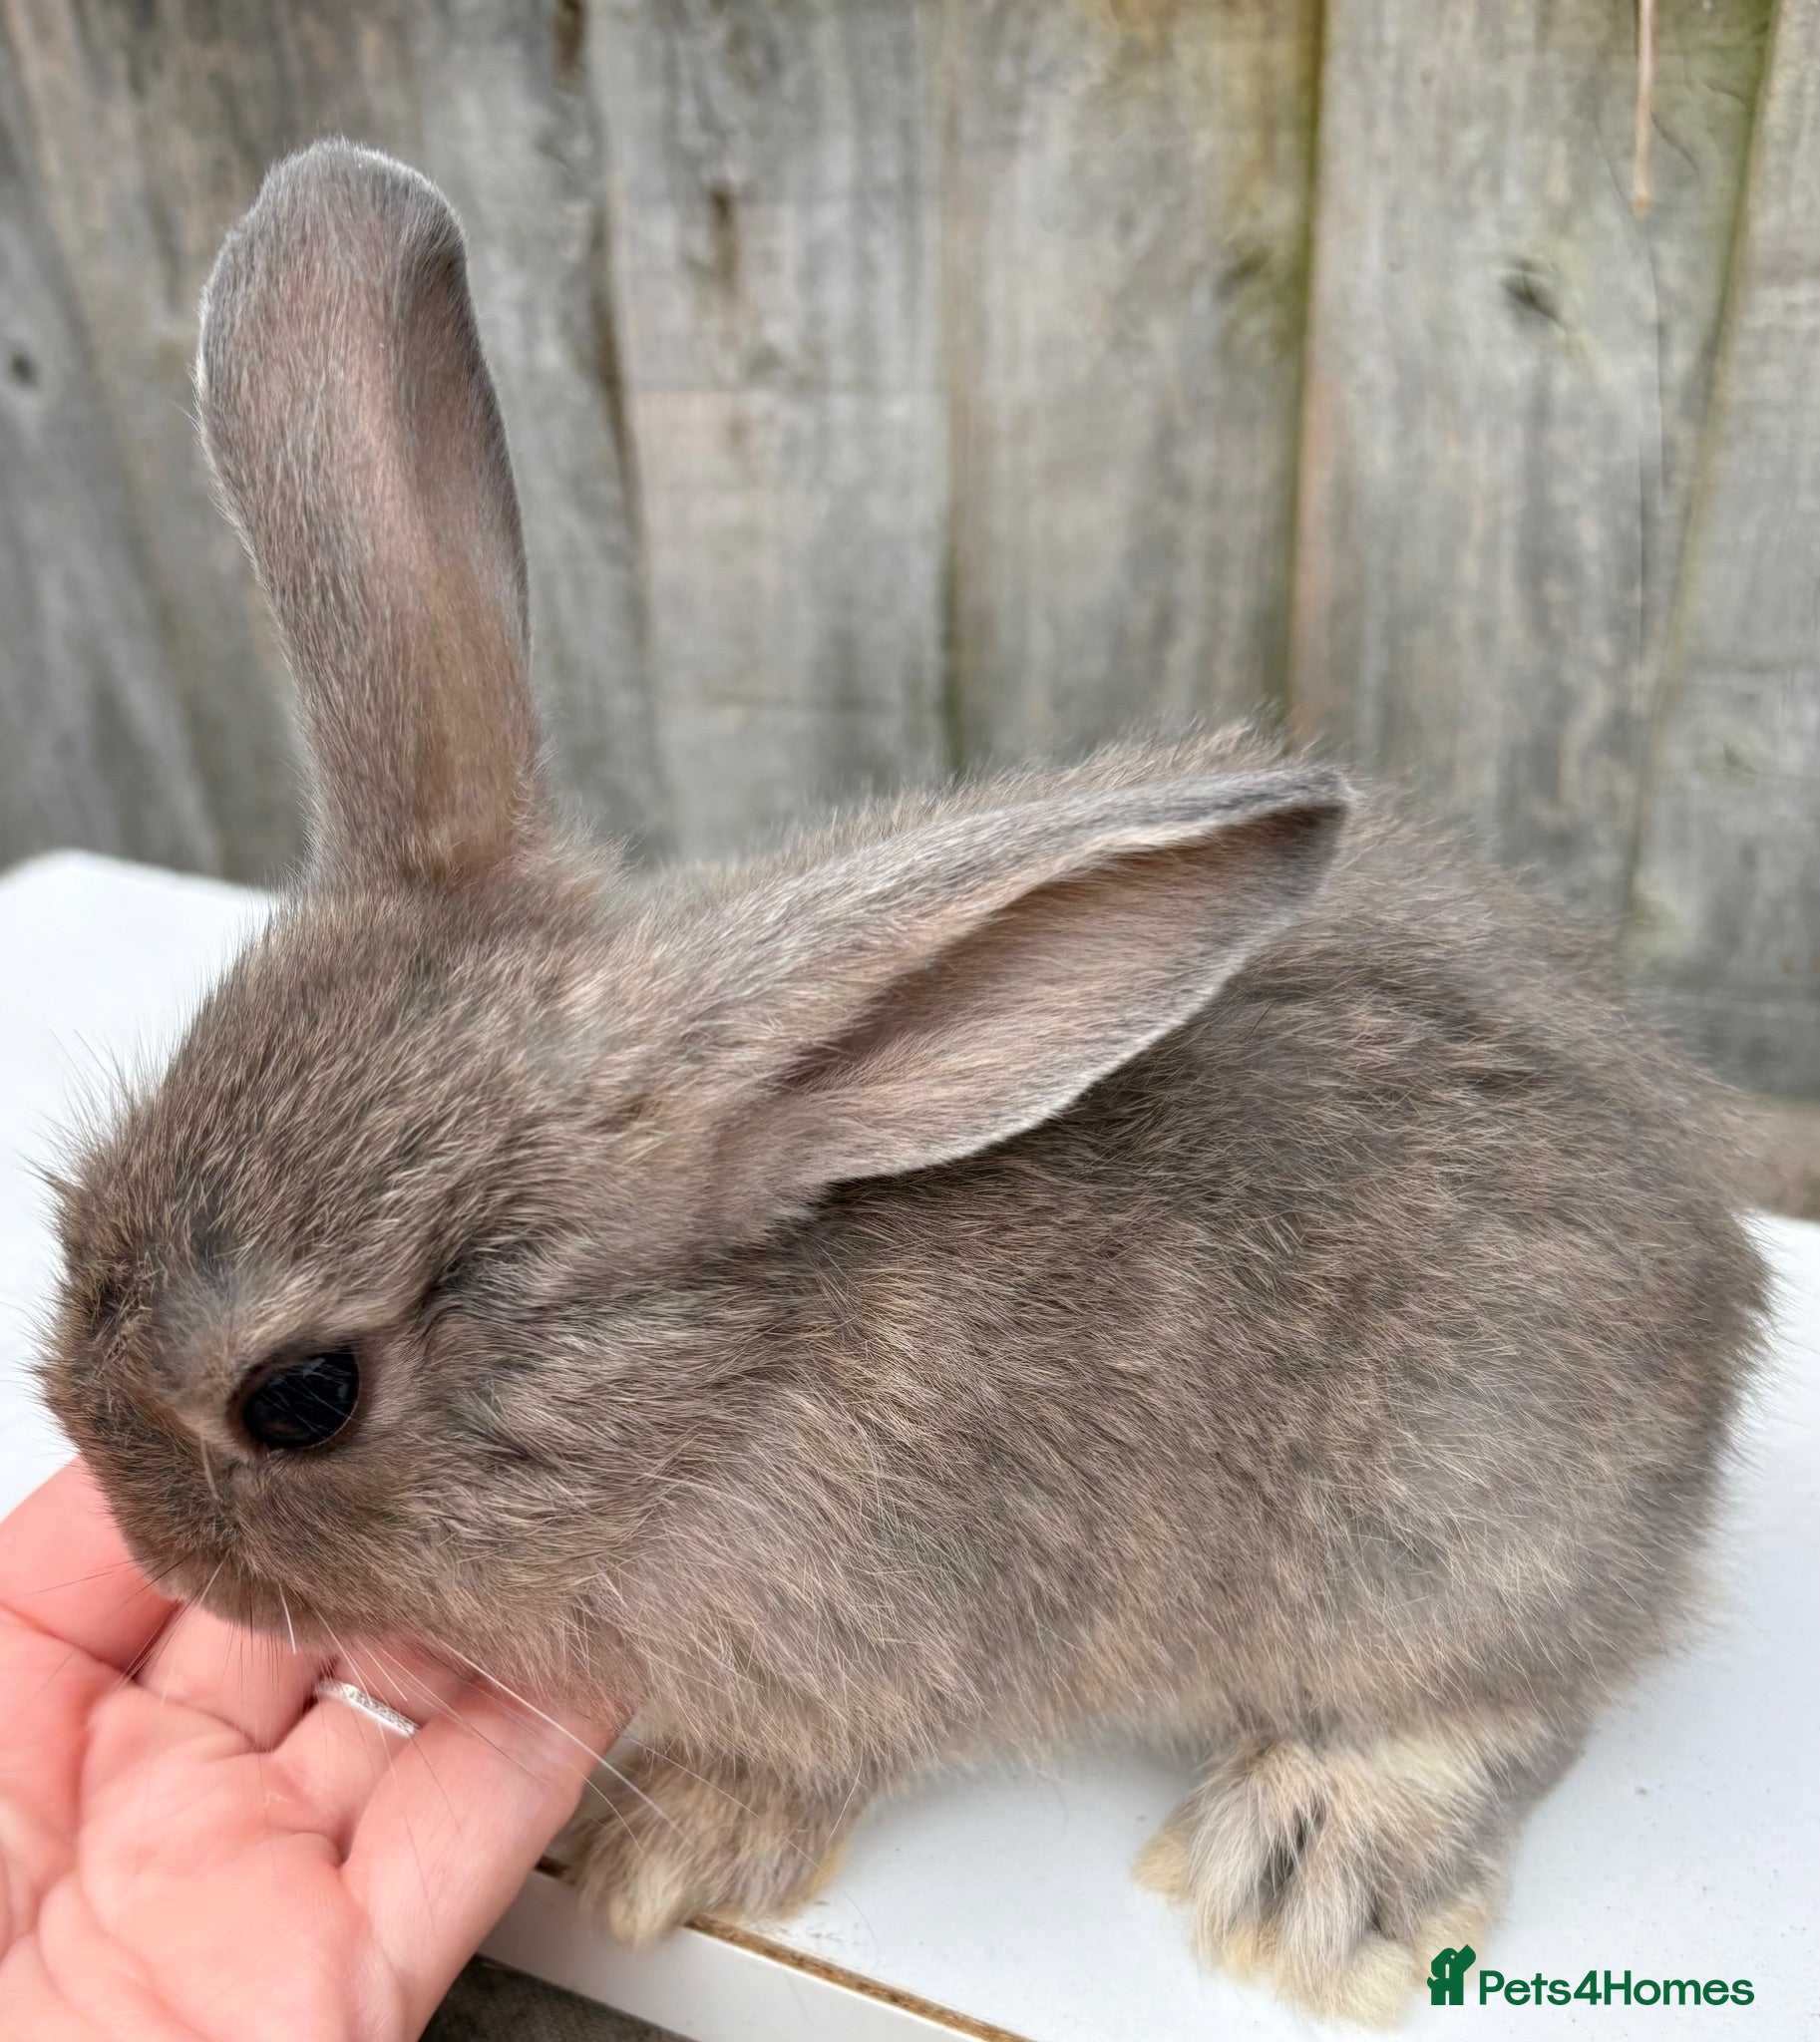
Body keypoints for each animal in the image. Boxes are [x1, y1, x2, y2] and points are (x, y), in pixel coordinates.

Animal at [41, 140, 1768, 2027]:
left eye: (302, 1397)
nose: (151, 1549)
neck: (712, 1386)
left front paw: (660, 1845)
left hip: (1458, 1534)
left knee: (1520, 1693)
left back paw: (1307, 1866)